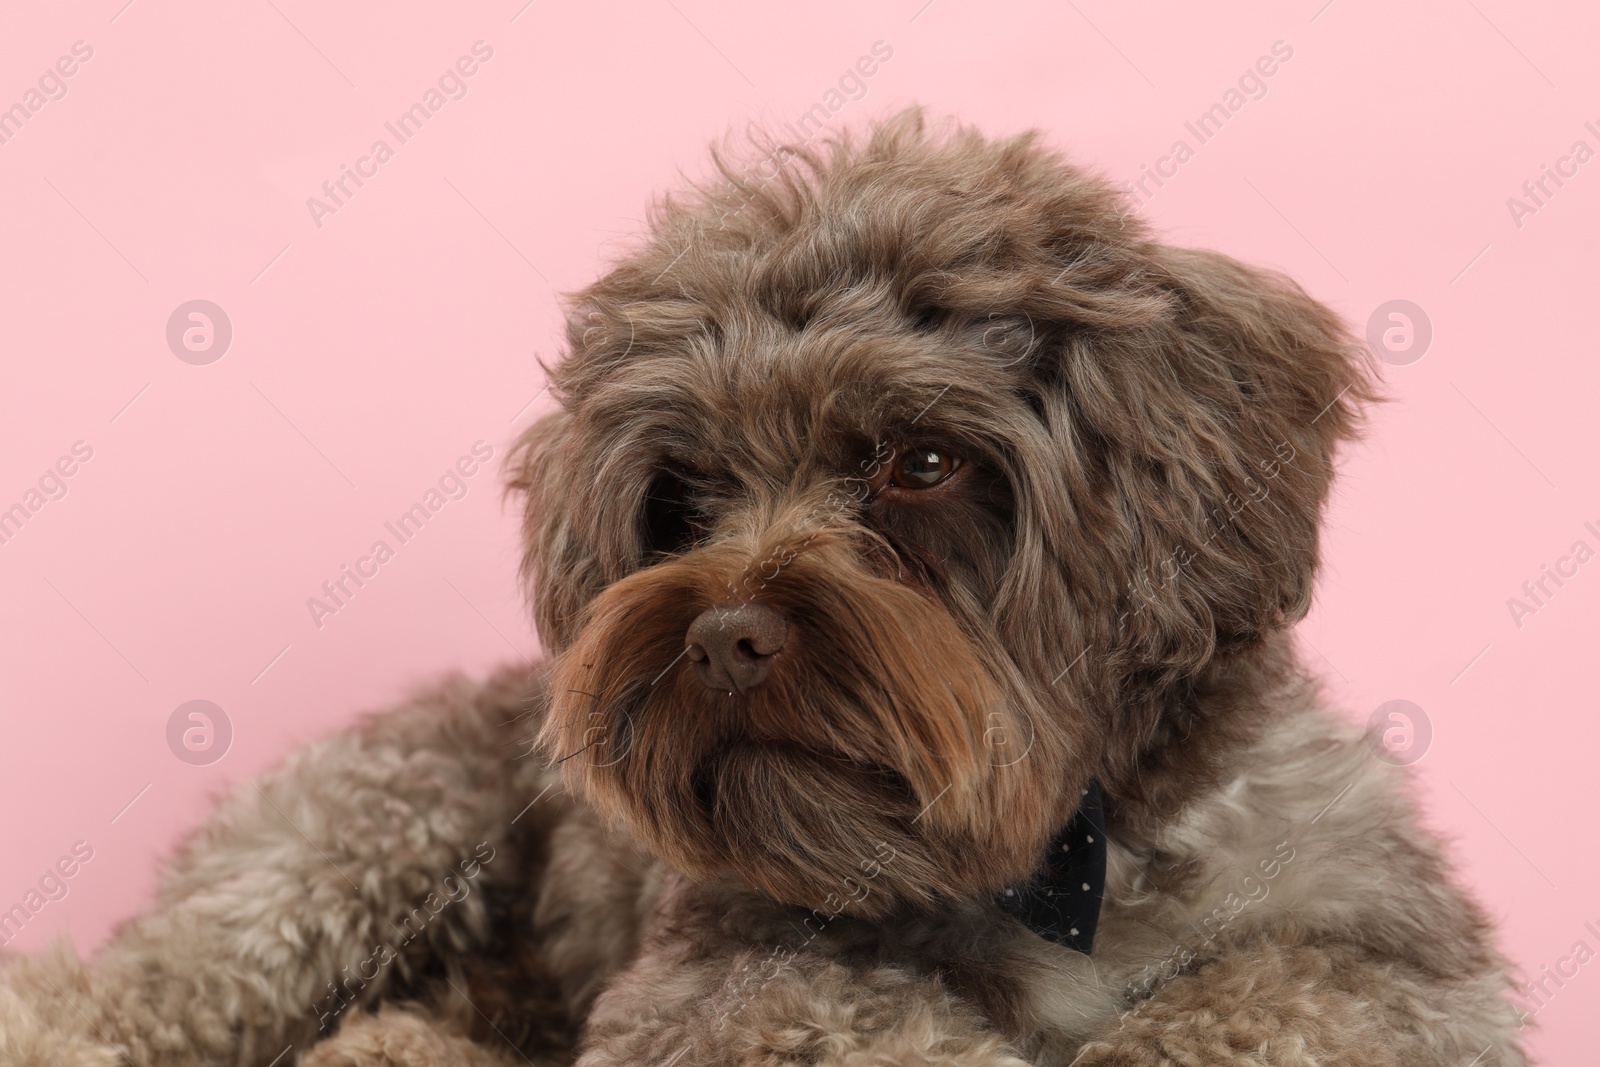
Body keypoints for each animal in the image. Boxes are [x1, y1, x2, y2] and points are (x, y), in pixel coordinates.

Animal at [3, 110, 1523, 1067]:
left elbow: (1270, 992)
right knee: (151, 985)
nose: (725, 635)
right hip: (364, 839)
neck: (1050, 860)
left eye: (919, 461)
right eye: (682, 491)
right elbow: (855, 1017)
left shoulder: (1400, 951)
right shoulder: (713, 975)